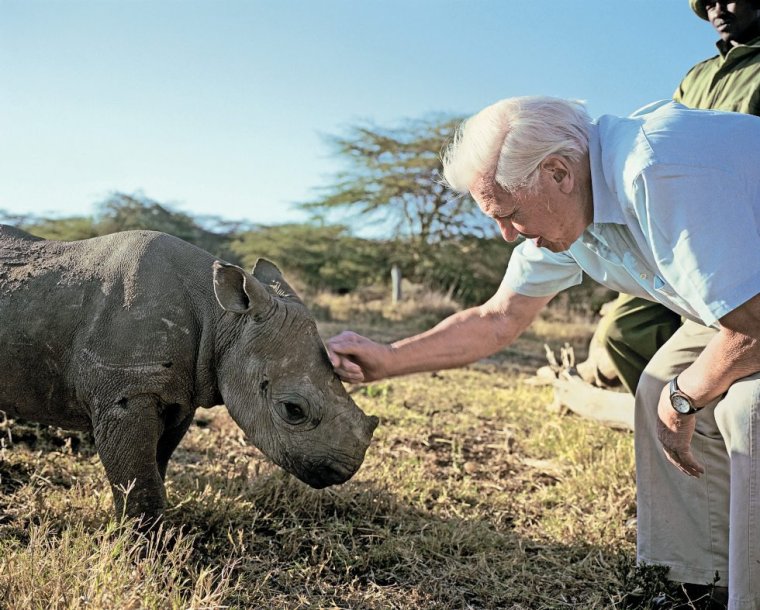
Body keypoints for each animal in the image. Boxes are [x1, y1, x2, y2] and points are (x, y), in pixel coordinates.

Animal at [0, 225, 378, 522]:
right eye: (293, 410)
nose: (347, 469)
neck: (223, 318)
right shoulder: (125, 393)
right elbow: (138, 479)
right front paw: (143, 551)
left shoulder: (180, 395)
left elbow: (157, 463)